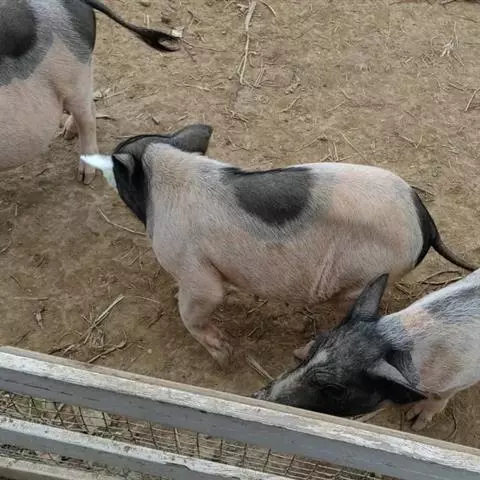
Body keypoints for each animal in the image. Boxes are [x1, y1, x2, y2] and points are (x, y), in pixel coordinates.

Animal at [80, 124, 477, 366]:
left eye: (118, 171)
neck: (164, 180)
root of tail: (425, 221)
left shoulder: (193, 267)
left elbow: (195, 308)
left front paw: (224, 355)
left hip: (367, 275)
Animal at [252, 270, 480, 430]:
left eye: (335, 389)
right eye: (314, 350)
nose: (257, 396)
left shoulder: (457, 381)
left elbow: (438, 399)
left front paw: (414, 423)